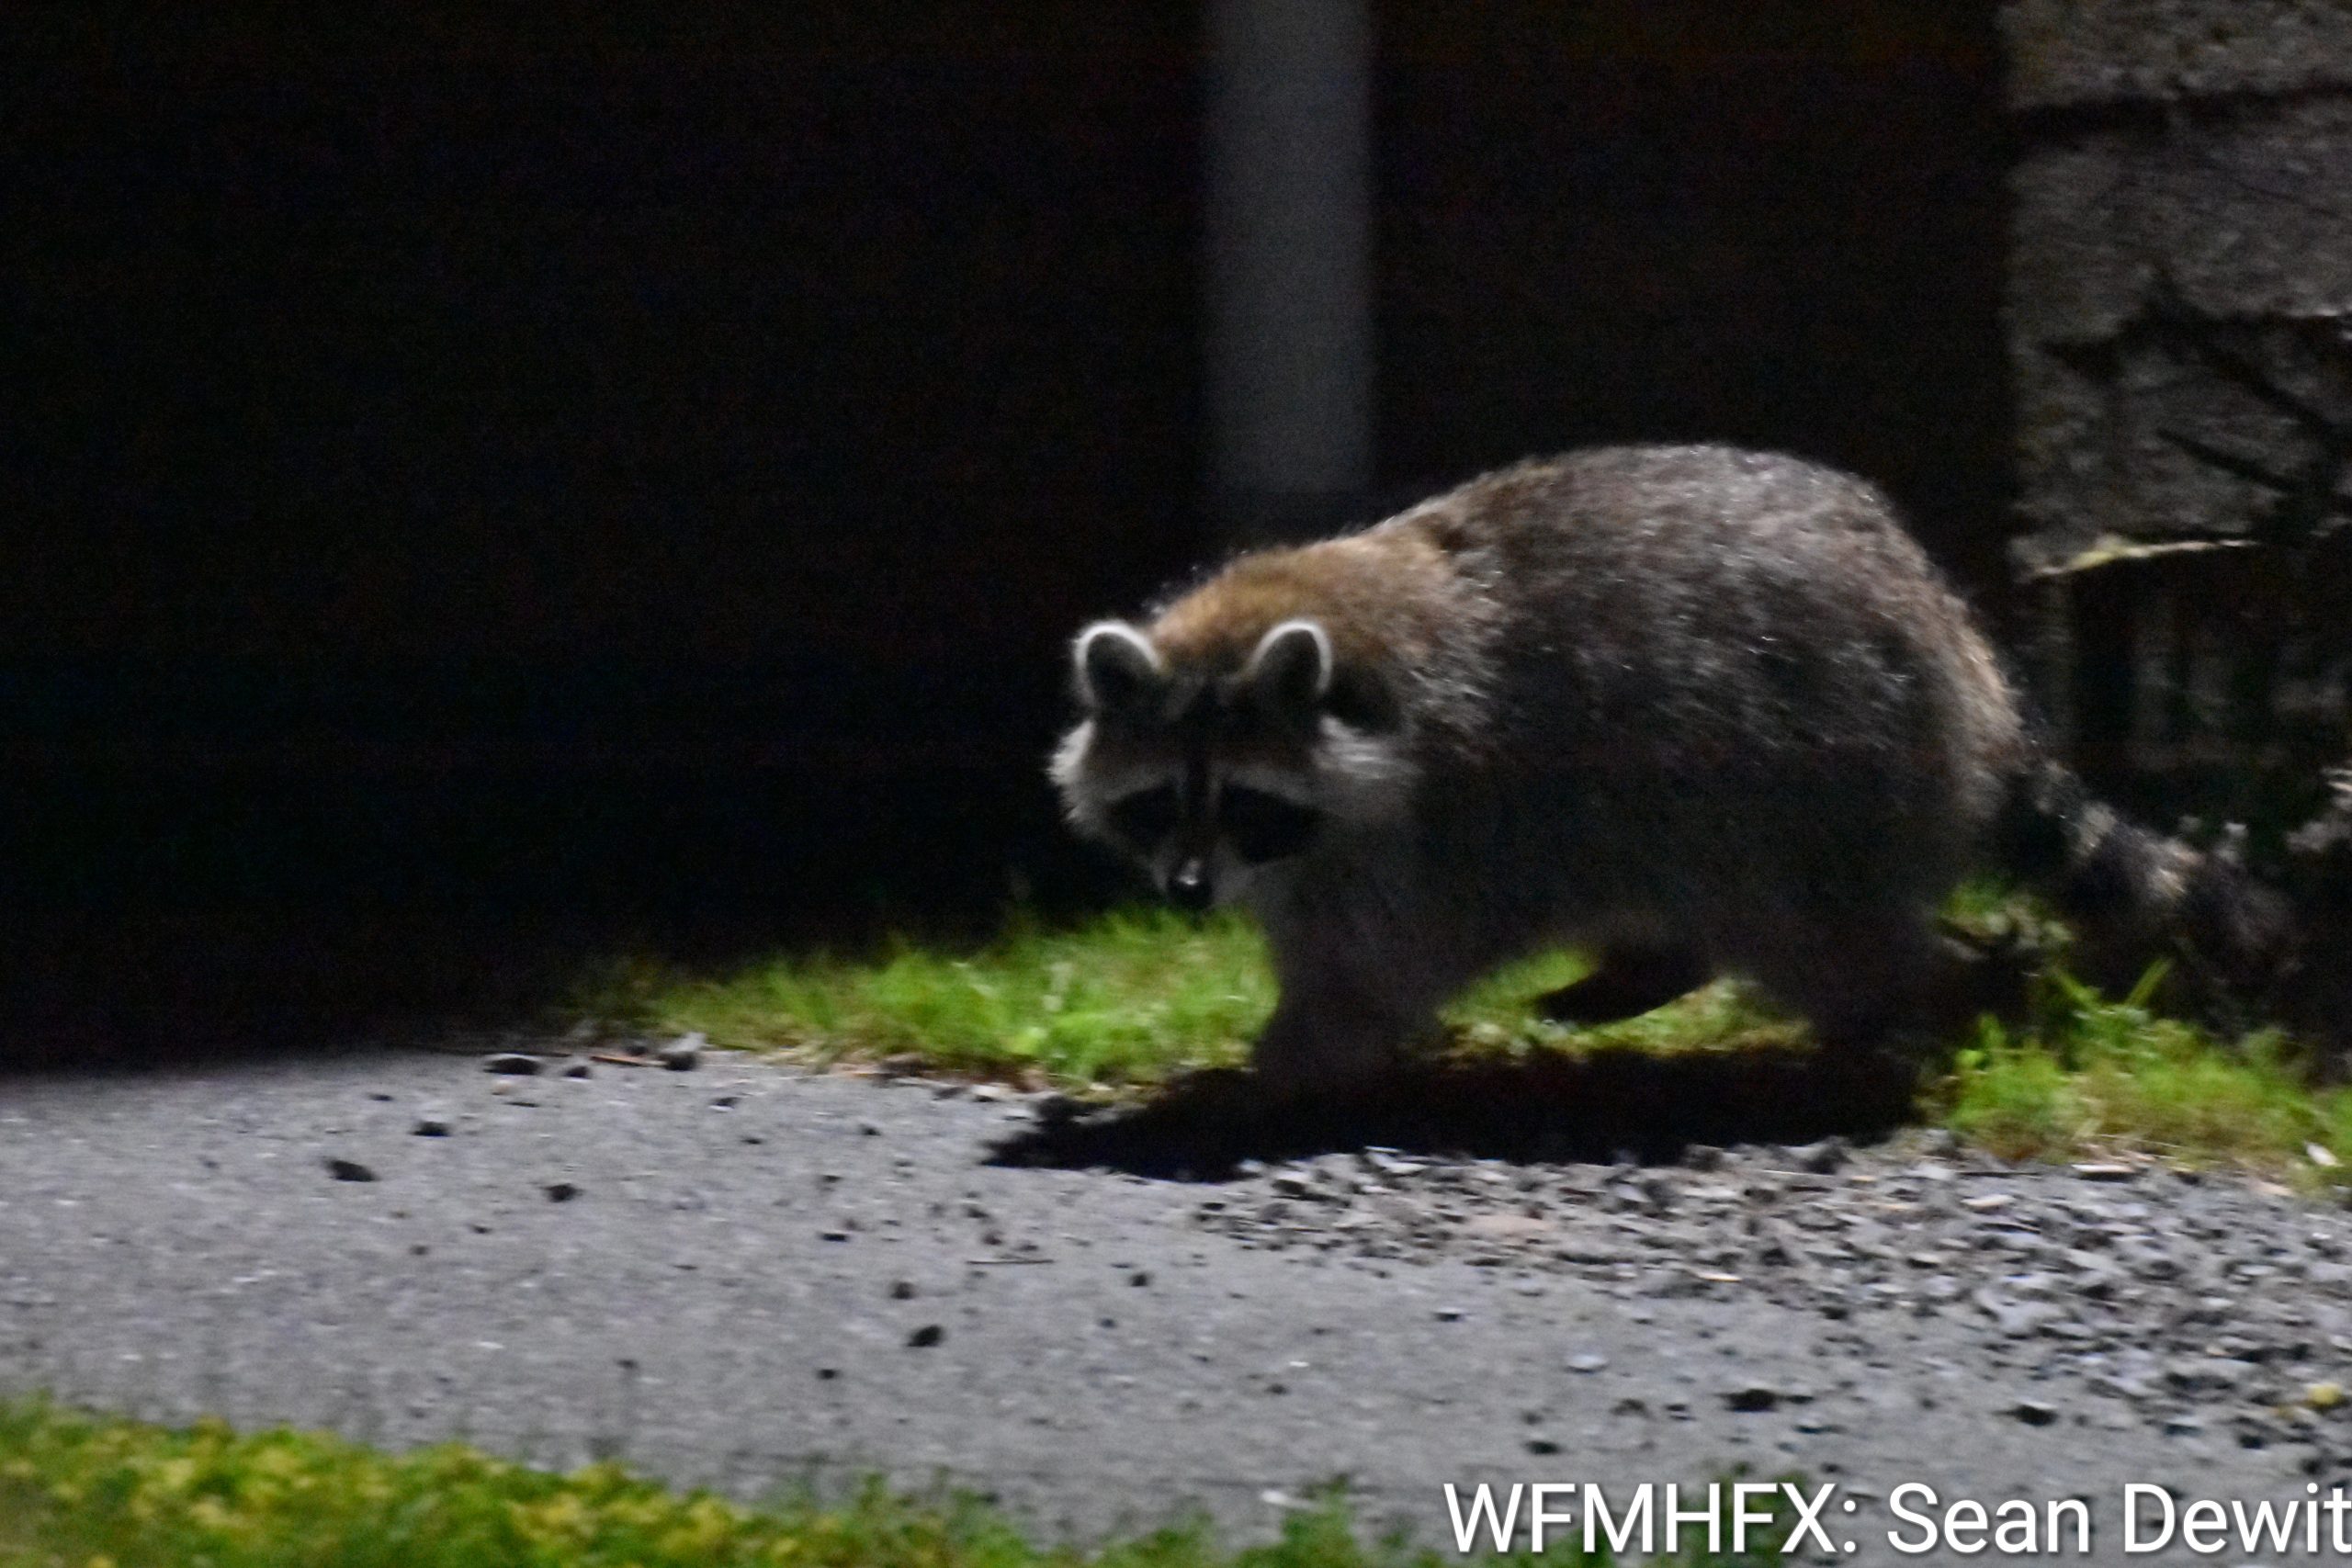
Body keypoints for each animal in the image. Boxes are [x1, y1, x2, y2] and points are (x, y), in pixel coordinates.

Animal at [1050, 445, 2292, 1088]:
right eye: (1160, 803)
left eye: (1245, 802)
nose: (1188, 893)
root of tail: (1960, 649)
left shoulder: (1447, 809)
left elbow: (1394, 947)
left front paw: (1308, 1044)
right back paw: (1649, 970)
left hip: (1813, 762)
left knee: (1812, 933)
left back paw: (1930, 996)